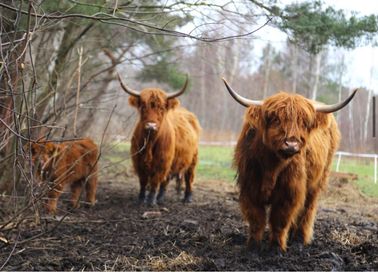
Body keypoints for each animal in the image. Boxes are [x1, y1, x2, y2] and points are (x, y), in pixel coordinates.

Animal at [118, 73, 201, 205]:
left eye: (161, 108)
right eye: (143, 107)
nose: (151, 125)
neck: (150, 143)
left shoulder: (162, 160)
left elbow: (155, 180)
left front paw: (151, 201)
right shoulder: (138, 160)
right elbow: (143, 181)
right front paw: (141, 199)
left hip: (192, 160)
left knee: (189, 178)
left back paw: (187, 198)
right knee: (165, 181)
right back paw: (161, 198)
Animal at [221, 77, 358, 252]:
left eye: (304, 123)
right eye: (276, 119)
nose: (291, 144)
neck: (271, 167)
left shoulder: (290, 192)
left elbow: (279, 220)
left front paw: (276, 248)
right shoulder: (249, 188)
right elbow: (256, 219)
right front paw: (253, 246)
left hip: (318, 181)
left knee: (307, 208)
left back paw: (300, 238)